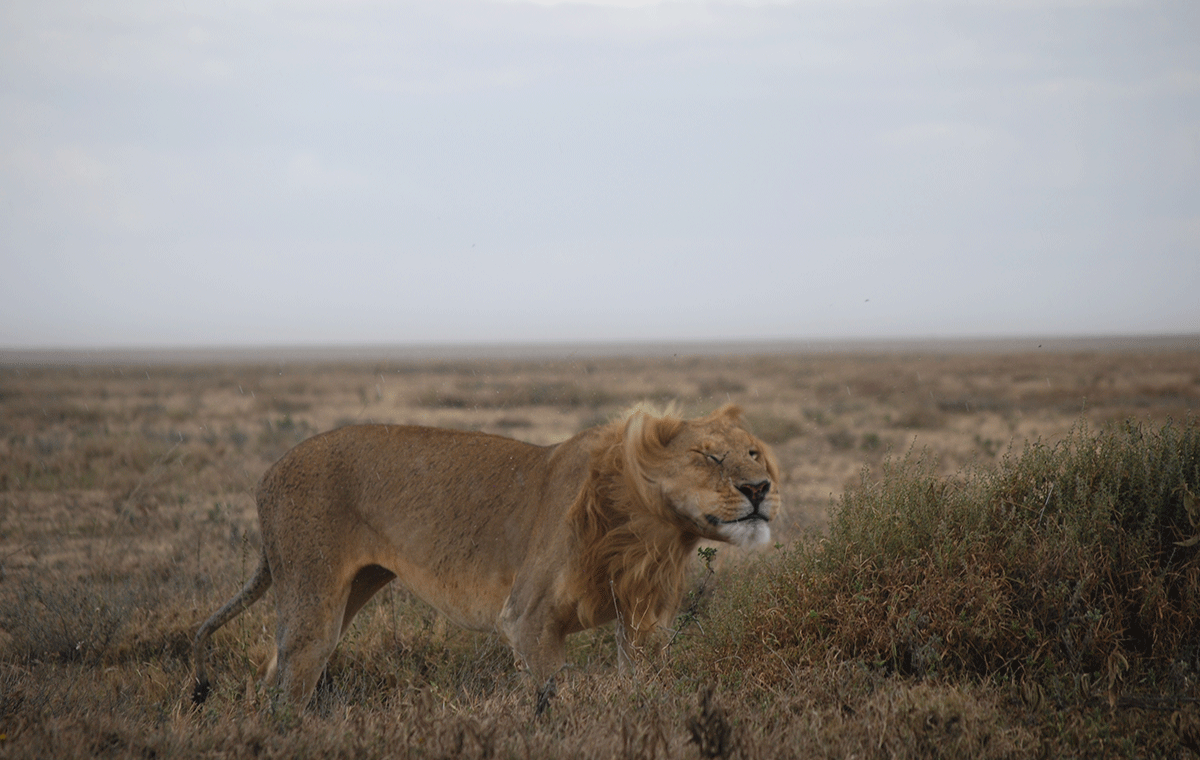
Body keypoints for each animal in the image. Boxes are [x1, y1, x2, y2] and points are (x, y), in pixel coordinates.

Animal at [192, 405, 782, 710]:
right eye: (709, 456)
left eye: (754, 452)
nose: (759, 488)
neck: (650, 527)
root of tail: (268, 472)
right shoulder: (527, 617)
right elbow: (545, 700)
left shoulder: (643, 624)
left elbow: (644, 689)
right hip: (312, 599)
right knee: (288, 687)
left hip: (349, 592)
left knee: (272, 672)